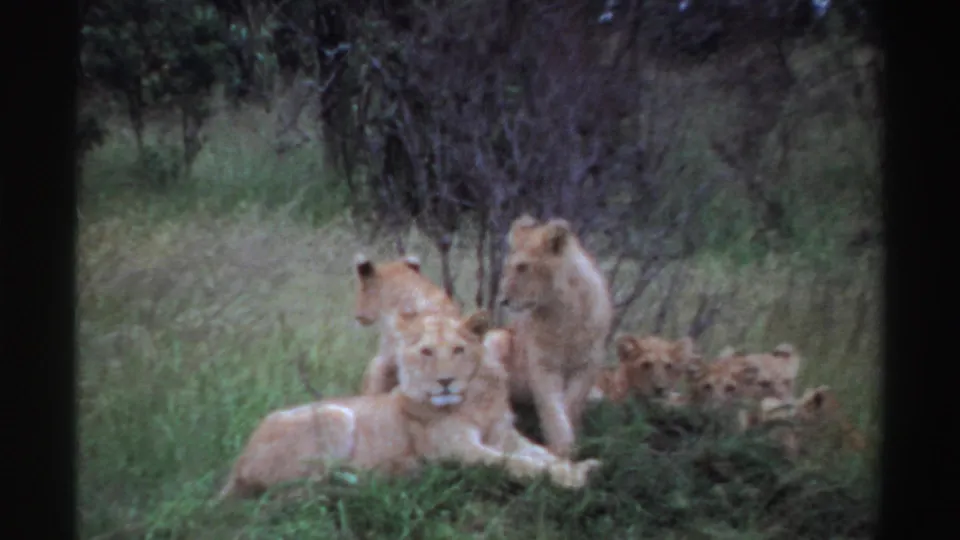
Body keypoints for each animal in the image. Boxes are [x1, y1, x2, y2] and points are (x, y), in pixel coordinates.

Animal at [217, 309, 602, 500]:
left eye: (458, 350)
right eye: (427, 351)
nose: (445, 381)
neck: (475, 401)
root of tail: (237, 465)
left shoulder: (506, 436)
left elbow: (542, 454)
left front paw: (580, 467)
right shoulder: (458, 450)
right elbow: (517, 464)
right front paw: (571, 479)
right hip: (335, 414)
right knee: (305, 486)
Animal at [496, 215, 614, 458]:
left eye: (522, 267)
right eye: (507, 267)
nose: (502, 300)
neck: (561, 313)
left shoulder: (588, 365)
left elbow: (570, 404)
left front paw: (569, 443)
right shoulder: (543, 365)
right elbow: (552, 407)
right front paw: (560, 447)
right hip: (499, 338)